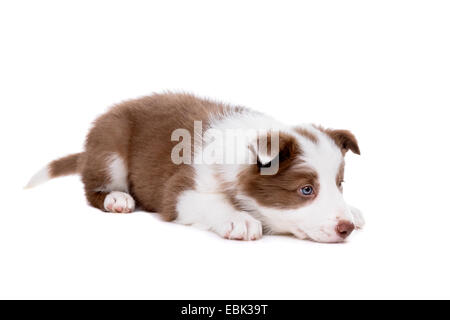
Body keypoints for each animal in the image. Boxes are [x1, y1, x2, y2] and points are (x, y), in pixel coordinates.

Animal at [26, 92, 364, 242]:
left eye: (340, 184)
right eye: (306, 190)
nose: (345, 228)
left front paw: (354, 210)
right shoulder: (178, 190)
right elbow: (208, 201)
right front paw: (239, 219)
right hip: (111, 147)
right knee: (93, 187)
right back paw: (117, 198)